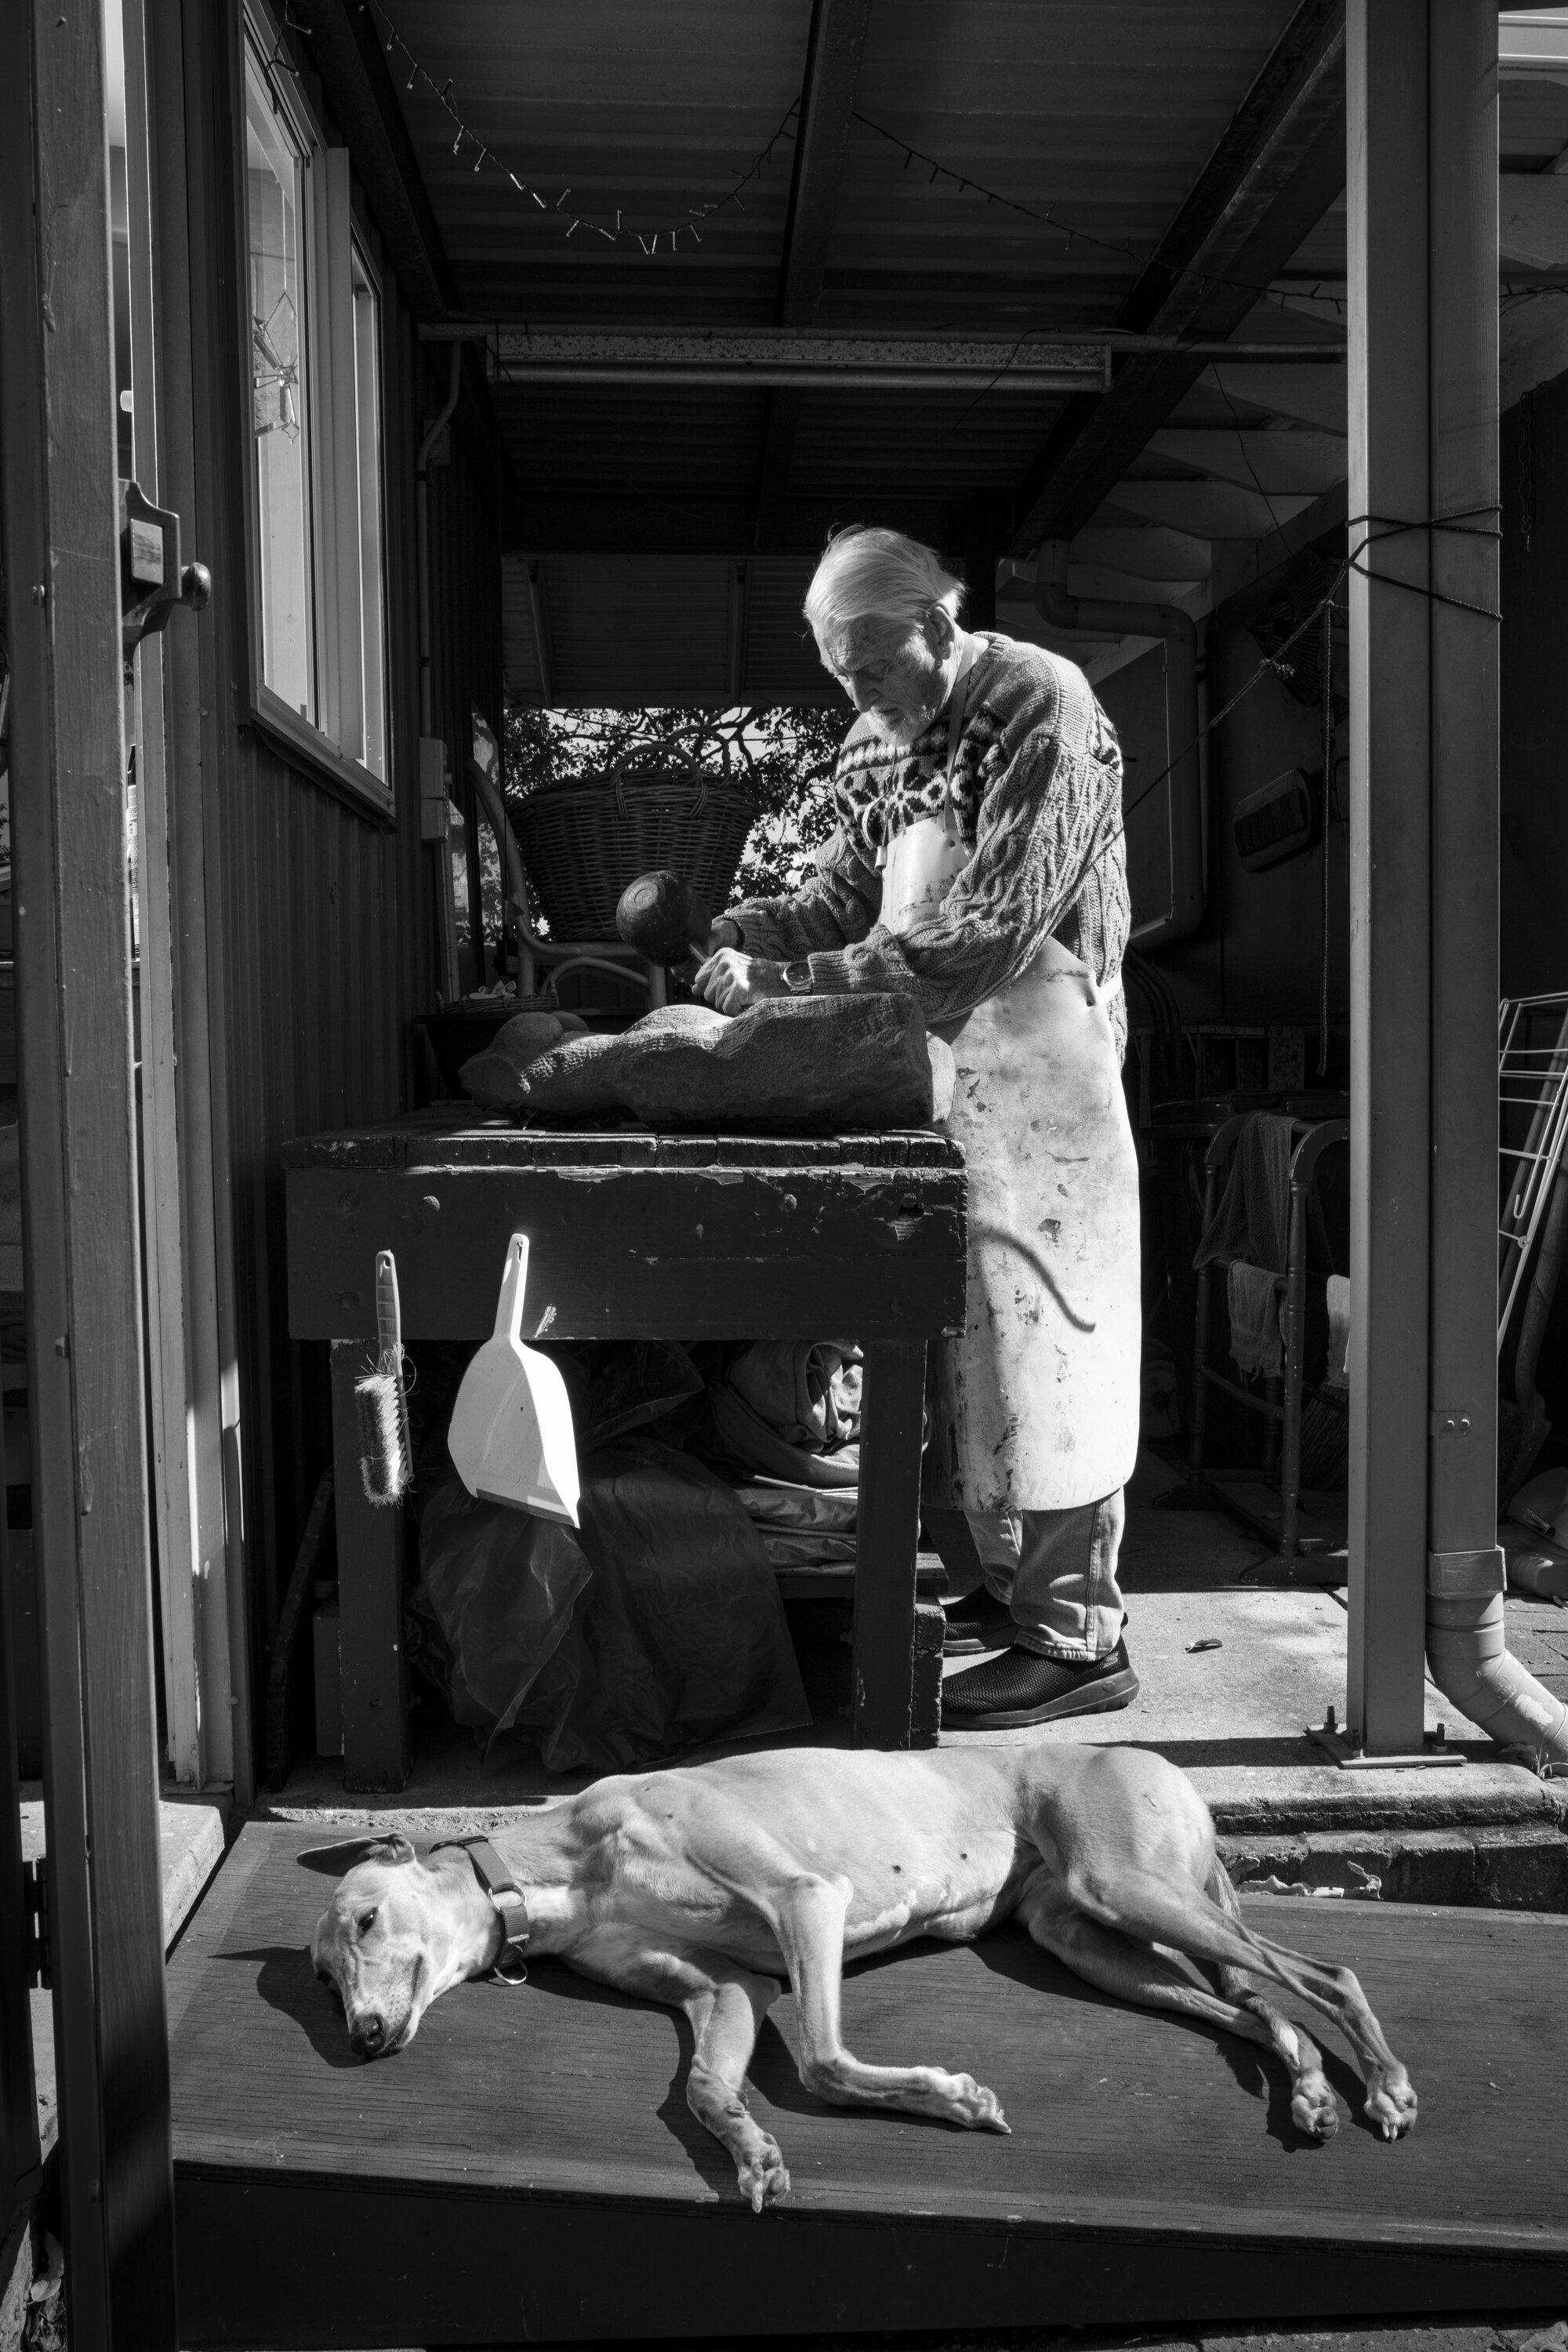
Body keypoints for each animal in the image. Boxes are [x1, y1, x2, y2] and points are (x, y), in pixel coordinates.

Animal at [312, 1750, 1420, 2201]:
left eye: (365, 1918)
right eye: (322, 1978)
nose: (362, 2038)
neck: (556, 1865)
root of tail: (1155, 1761)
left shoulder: (807, 1898)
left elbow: (822, 2063)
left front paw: (953, 2097)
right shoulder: (723, 1991)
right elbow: (707, 2086)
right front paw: (751, 2150)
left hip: (1125, 1887)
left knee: (1321, 1972)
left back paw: (1382, 2083)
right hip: (1086, 1936)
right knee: (1253, 2006)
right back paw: (1308, 2090)